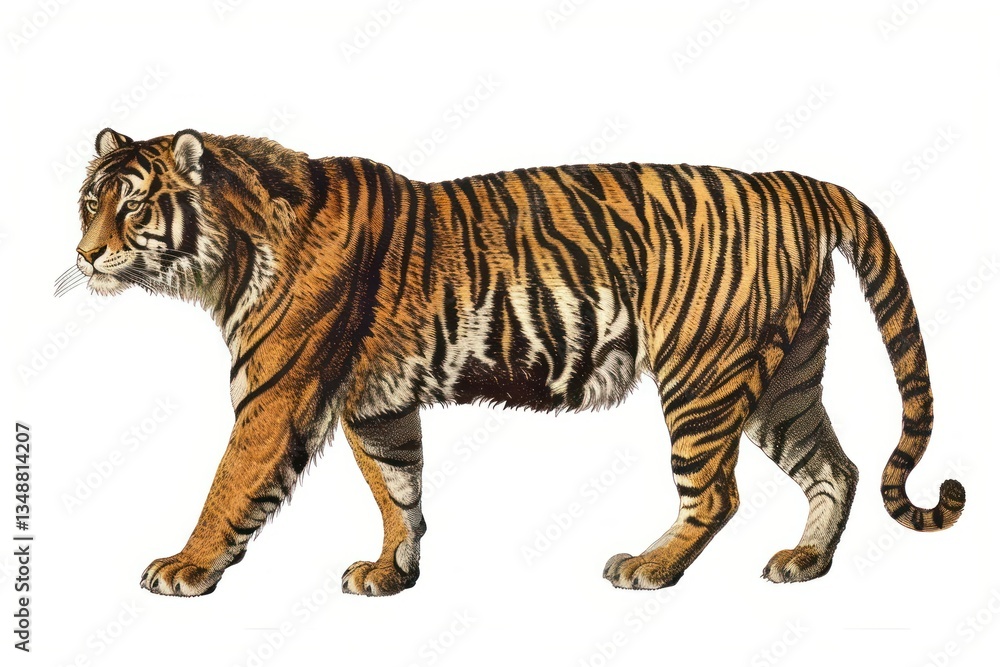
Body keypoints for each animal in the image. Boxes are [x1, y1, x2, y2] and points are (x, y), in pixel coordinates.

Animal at [61, 127, 966, 597]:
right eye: (88, 201)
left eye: (132, 207)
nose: (85, 253)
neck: (227, 255)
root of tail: (792, 180)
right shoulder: (376, 405)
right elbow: (398, 491)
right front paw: (391, 571)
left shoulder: (277, 396)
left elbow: (230, 484)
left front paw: (185, 565)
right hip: (783, 378)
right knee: (835, 468)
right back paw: (805, 562)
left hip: (704, 373)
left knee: (717, 492)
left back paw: (649, 566)